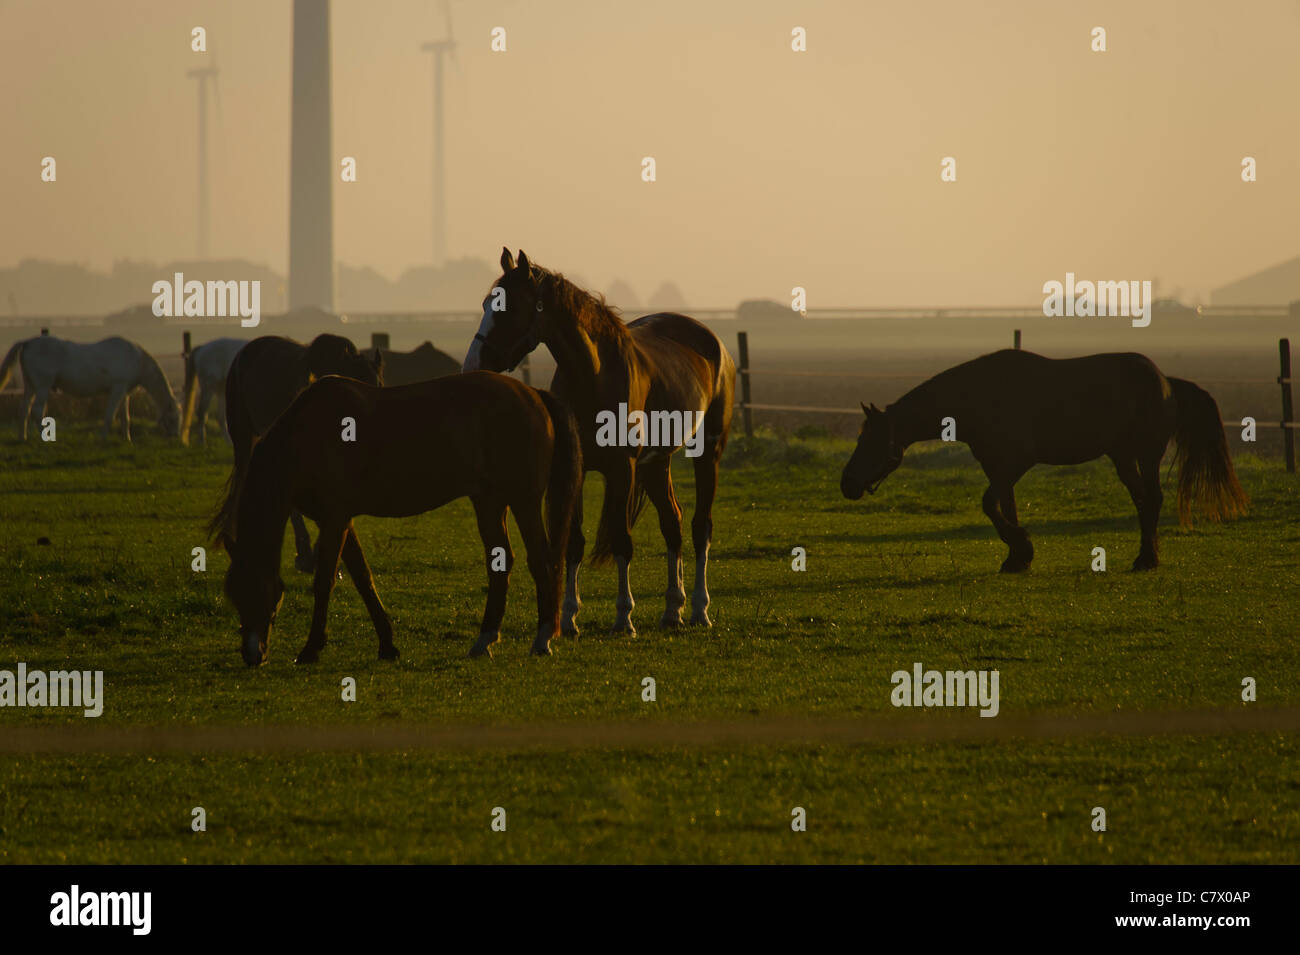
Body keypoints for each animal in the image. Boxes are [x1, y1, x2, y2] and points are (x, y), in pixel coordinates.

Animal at [0, 335, 183, 441]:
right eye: (173, 418)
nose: (175, 437)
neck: (137, 359)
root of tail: (28, 343)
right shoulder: (117, 388)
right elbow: (109, 416)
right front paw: (103, 440)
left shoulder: (124, 393)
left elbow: (126, 418)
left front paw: (127, 440)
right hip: (43, 386)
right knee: (37, 411)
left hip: (30, 386)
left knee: (23, 410)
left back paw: (22, 438)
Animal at [211, 369, 579, 670]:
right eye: (234, 594)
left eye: (261, 591)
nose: (252, 654)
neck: (308, 435)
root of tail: (532, 393)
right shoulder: (339, 520)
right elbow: (363, 578)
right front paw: (387, 644)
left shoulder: (335, 519)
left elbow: (325, 581)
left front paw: (311, 649)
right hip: (488, 501)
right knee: (500, 562)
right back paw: (484, 640)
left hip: (523, 500)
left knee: (541, 560)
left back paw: (542, 640)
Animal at [465, 248, 733, 634]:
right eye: (487, 303)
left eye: (508, 306)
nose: (473, 363)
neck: (594, 375)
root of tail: (711, 342)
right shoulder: (578, 469)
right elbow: (574, 542)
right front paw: (568, 617)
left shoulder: (622, 469)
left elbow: (622, 540)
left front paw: (624, 618)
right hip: (657, 463)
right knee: (673, 524)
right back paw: (672, 610)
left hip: (707, 453)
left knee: (701, 527)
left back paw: (699, 609)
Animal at [842, 350, 1248, 574]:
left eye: (871, 440)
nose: (847, 483)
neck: (977, 396)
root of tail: (1165, 380)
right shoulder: (998, 468)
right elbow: (1004, 507)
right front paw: (1017, 558)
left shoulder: (1016, 462)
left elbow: (990, 504)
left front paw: (1022, 547)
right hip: (1122, 456)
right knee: (1142, 501)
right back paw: (1146, 556)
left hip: (1146, 454)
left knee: (1153, 499)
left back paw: (1147, 559)